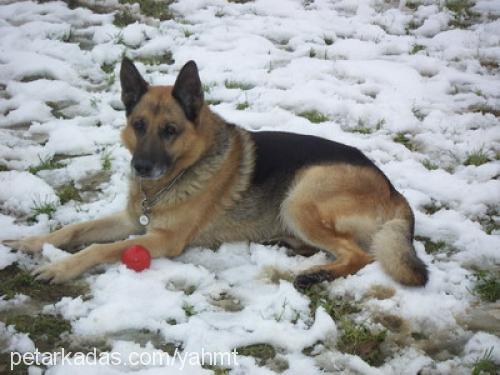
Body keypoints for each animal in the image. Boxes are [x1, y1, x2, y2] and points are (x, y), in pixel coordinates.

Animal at [1, 58, 428, 290]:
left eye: (169, 131)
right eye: (138, 125)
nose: (141, 167)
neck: (176, 175)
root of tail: (396, 194)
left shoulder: (164, 239)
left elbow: (98, 248)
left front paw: (59, 267)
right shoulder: (131, 219)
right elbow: (74, 231)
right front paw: (32, 242)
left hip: (300, 196)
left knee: (360, 254)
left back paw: (315, 274)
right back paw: (291, 245)